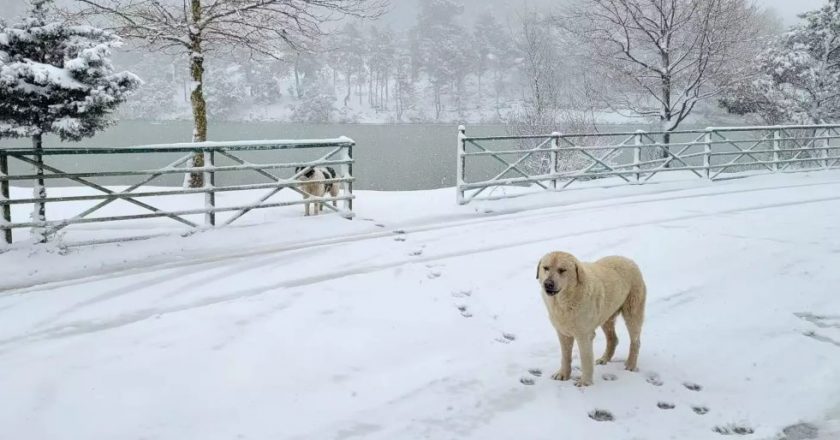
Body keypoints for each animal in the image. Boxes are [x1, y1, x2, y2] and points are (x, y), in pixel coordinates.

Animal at [536, 253, 648, 386]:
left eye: (562, 270)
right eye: (546, 268)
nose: (548, 283)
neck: (565, 301)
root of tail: (627, 259)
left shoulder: (584, 335)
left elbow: (585, 359)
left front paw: (585, 383)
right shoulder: (563, 333)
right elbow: (565, 356)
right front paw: (563, 374)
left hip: (632, 314)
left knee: (636, 341)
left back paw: (631, 365)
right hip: (606, 317)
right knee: (613, 339)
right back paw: (604, 359)